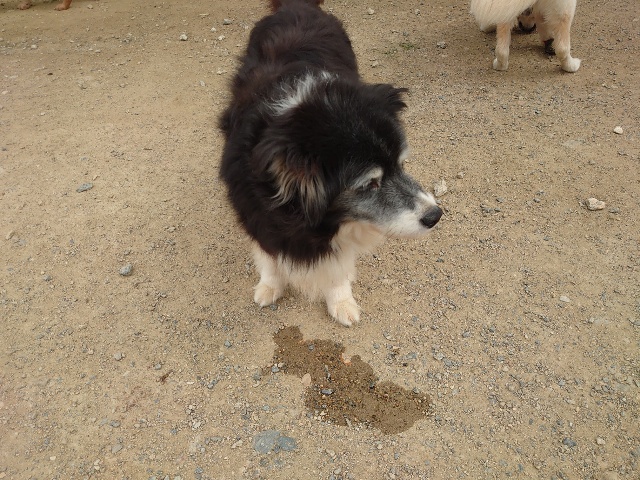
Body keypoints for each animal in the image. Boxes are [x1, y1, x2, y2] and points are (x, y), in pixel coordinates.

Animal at [219, 0, 442, 326]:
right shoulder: (256, 213)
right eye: (370, 184)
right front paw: (269, 286)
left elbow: (338, 267)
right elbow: (269, 255)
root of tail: (297, 5)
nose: (435, 215)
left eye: (401, 165)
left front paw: (342, 302)